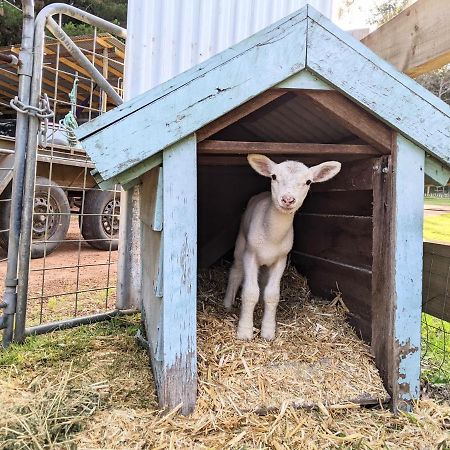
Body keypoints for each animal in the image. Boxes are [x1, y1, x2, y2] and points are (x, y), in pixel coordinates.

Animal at [225, 155, 342, 342]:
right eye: (274, 176)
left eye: (308, 181)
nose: (287, 199)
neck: (272, 236)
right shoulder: (251, 255)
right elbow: (250, 292)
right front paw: (244, 331)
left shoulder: (281, 259)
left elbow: (272, 295)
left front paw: (268, 331)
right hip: (241, 243)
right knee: (236, 271)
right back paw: (227, 304)